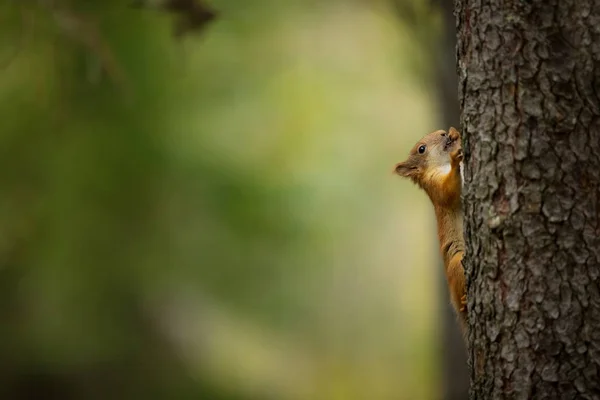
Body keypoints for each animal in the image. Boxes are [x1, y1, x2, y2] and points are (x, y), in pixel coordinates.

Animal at [394, 127, 468, 332]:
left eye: (440, 132)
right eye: (421, 149)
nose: (444, 133)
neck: (441, 164)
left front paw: (457, 135)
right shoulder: (435, 187)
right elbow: (448, 192)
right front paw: (455, 159)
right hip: (457, 263)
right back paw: (465, 301)